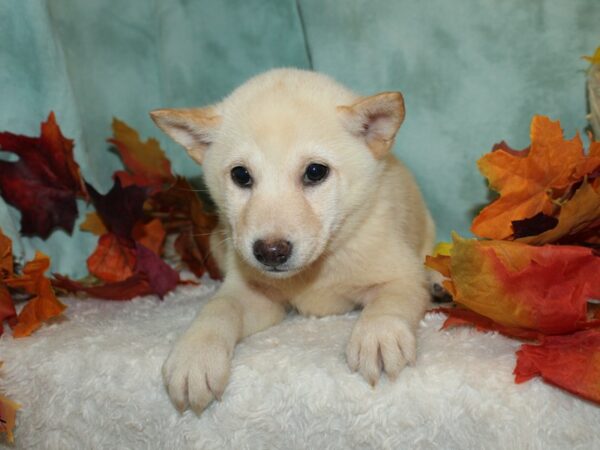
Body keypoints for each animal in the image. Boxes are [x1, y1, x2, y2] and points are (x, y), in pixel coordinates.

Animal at [149, 68, 432, 414]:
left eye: (315, 172)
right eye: (241, 175)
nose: (270, 252)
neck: (316, 268)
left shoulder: (403, 274)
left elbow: (389, 302)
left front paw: (378, 336)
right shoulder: (254, 295)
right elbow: (219, 307)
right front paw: (195, 353)